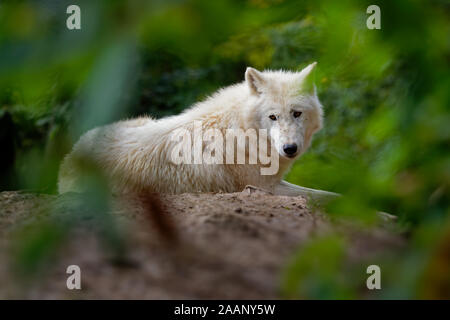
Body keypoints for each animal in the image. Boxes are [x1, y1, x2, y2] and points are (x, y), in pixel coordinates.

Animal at [59, 62, 340, 202]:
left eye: (297, 113)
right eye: (273, 117)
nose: (289, 149)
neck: (242, 128)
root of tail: (69, 157)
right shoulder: (264, 187)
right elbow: (325, 195)